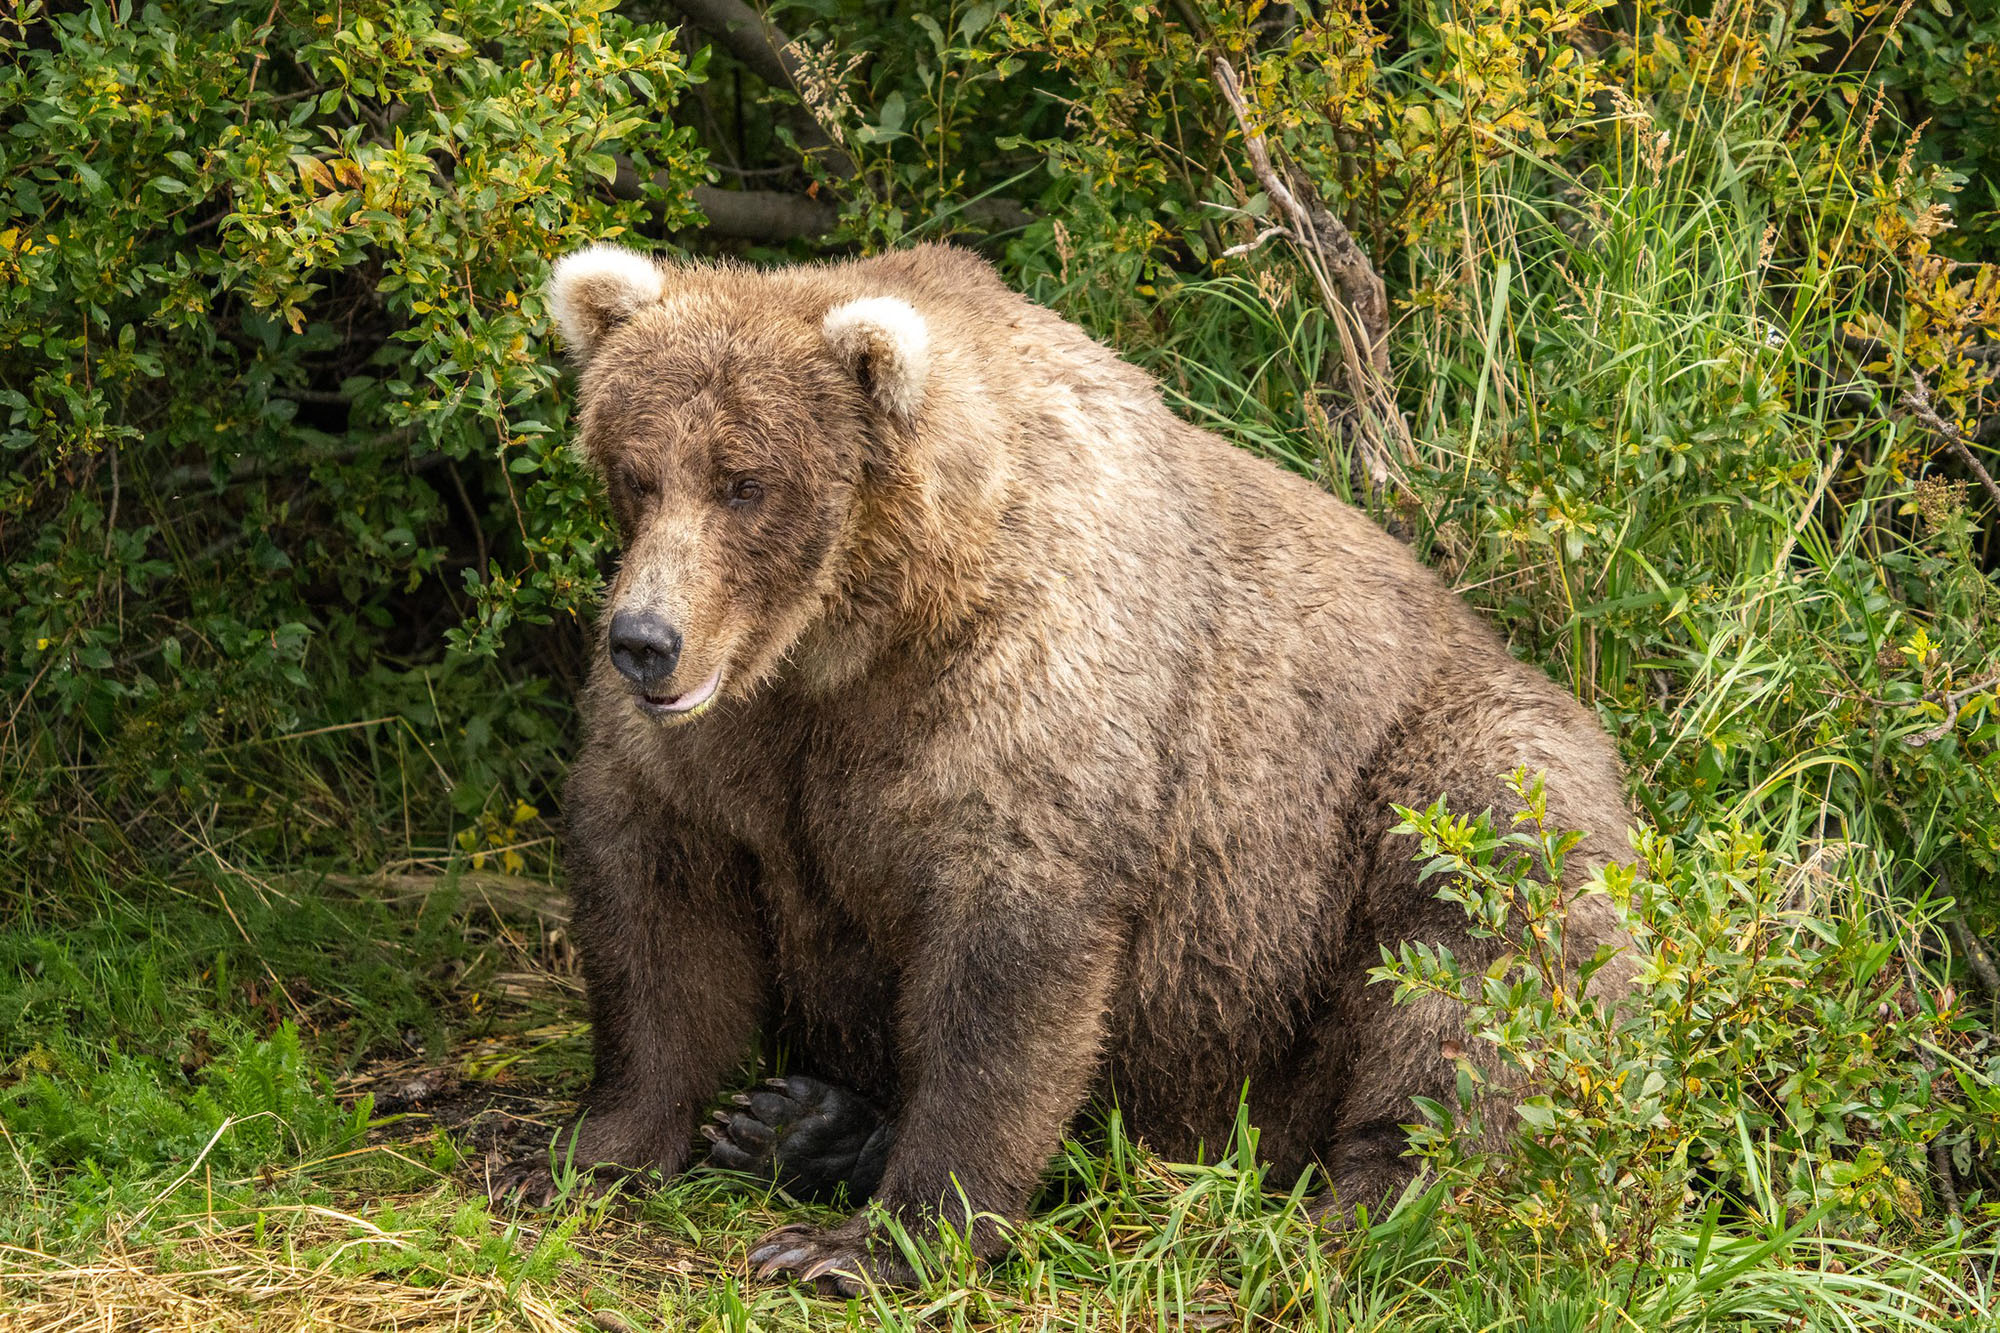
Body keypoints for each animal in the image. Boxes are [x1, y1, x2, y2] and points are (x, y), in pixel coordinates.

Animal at [500, 241, 1636, 1294]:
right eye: (636, 470)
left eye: (747, 482)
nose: (645, 641)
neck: (855, 637)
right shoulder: (730, 748)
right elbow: (658, 913)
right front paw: (579, 1153)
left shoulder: (1025, 706)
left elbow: (1006, 971)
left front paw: (866, 1243)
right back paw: (800, 1122)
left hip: (1427, 796)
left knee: (1471, 963)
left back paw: (1369, 1209)